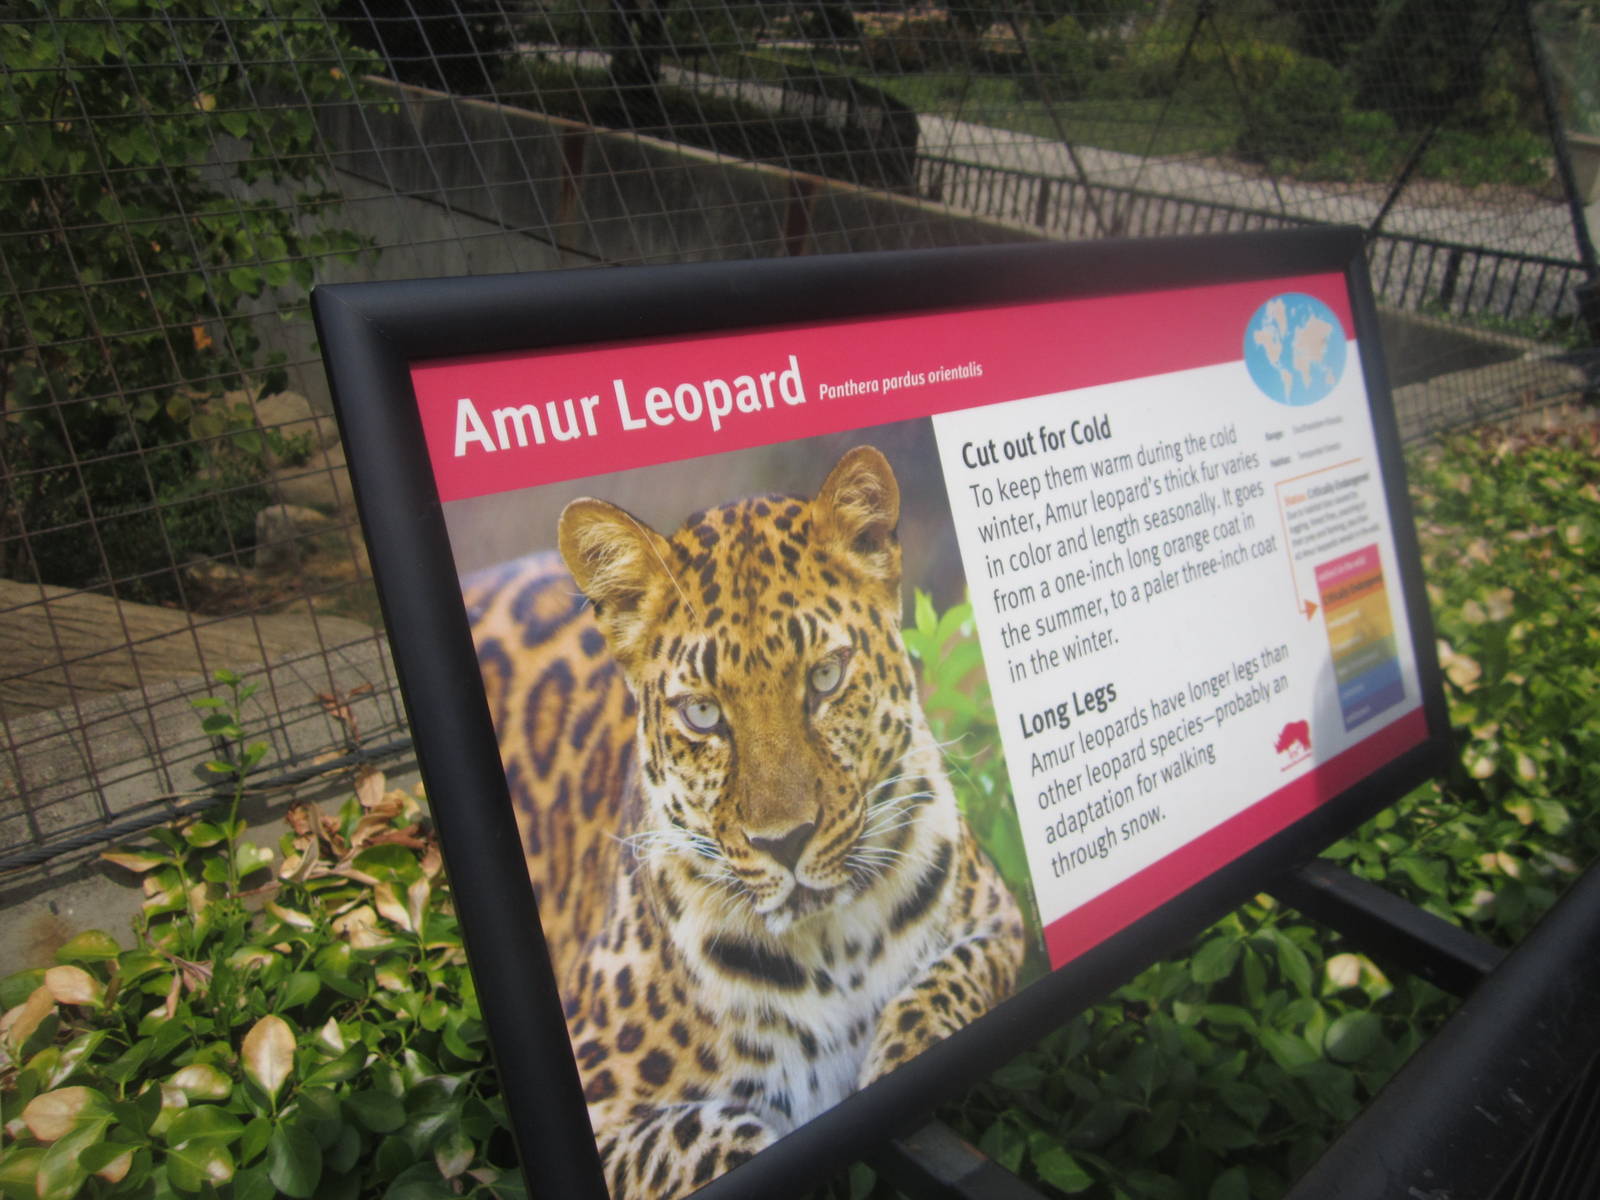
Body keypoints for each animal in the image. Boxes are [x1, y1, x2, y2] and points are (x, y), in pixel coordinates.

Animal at [463, 445, 1026, 1200]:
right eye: (703, 714)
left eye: (824, 678)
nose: (785, 843)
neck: (832, 953)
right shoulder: (600, 1112)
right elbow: (717, 1140)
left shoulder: (998, 922)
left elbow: (939, 994)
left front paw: (897, 1064)